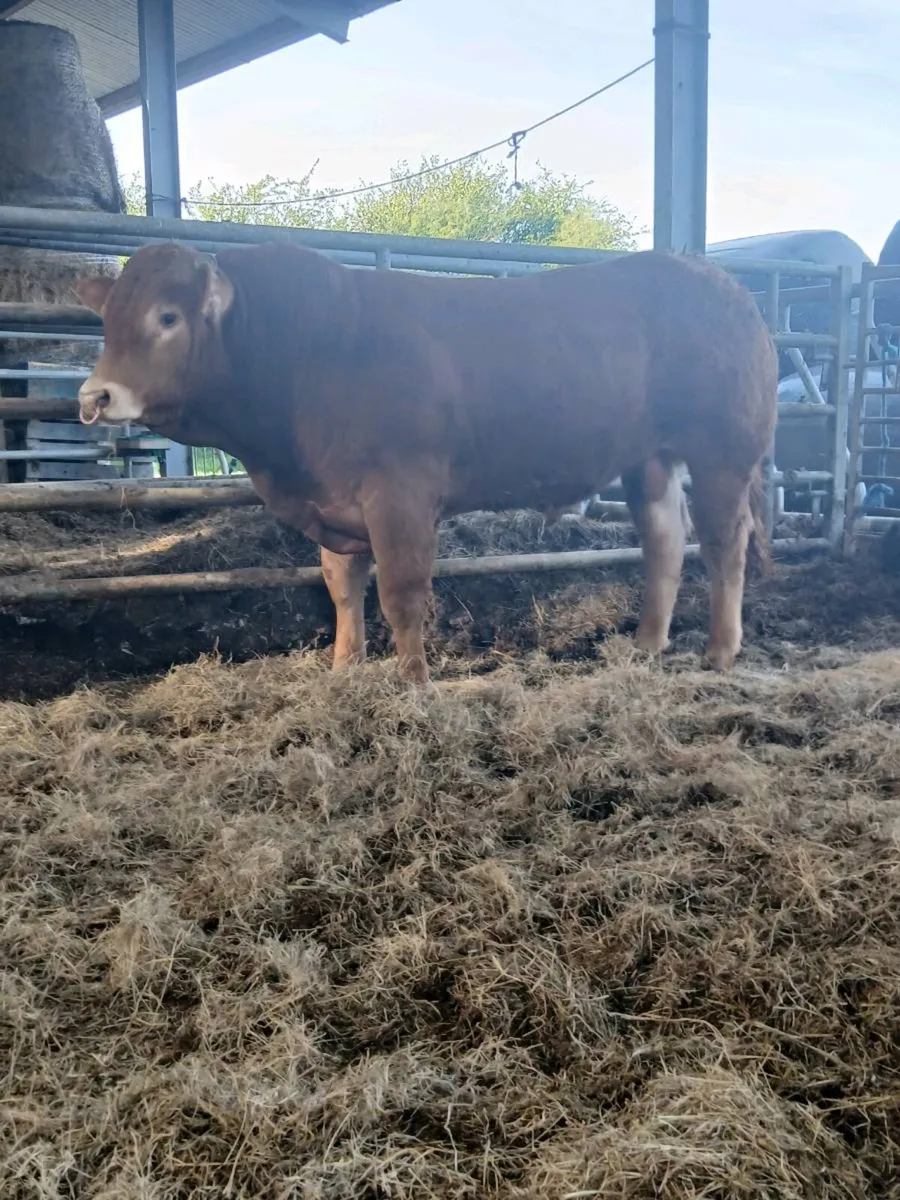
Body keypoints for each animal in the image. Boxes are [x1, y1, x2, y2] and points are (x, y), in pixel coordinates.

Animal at [75, 241, 777, 683]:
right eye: (107, 321)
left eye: (167, 316)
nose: (93, 397)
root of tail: (725, 285)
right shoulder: (335, 500)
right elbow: (343, 587)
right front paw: (344, 670)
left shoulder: (400, 495)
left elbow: (401, 592)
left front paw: (414, 681)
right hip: (650, 458)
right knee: (664, 542)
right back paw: (645, 647)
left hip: (723, 452)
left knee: (725, 545)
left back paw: (718, 653)